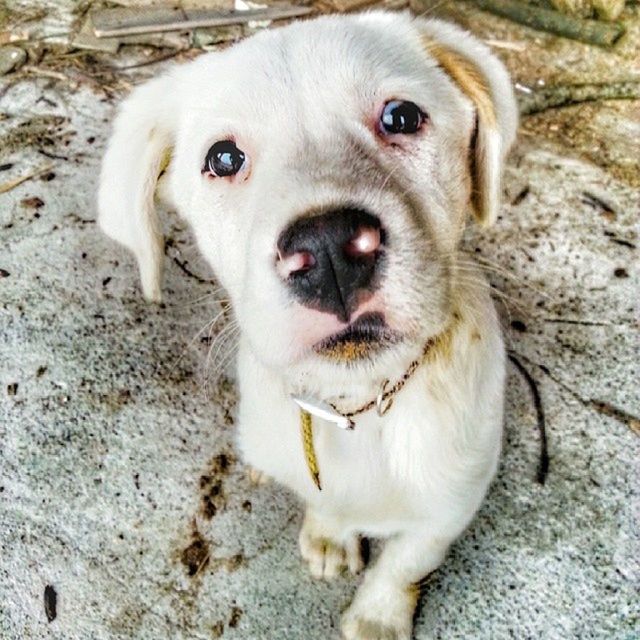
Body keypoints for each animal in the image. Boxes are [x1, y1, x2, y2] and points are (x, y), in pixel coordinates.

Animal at [99, 11, 520, 640]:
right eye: (223, 159)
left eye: (401, 117)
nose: (328, 250)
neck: (357, 408)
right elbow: (325, 504)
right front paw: (329, 536)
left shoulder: (452, 503)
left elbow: (406, 561)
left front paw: (377, 616)